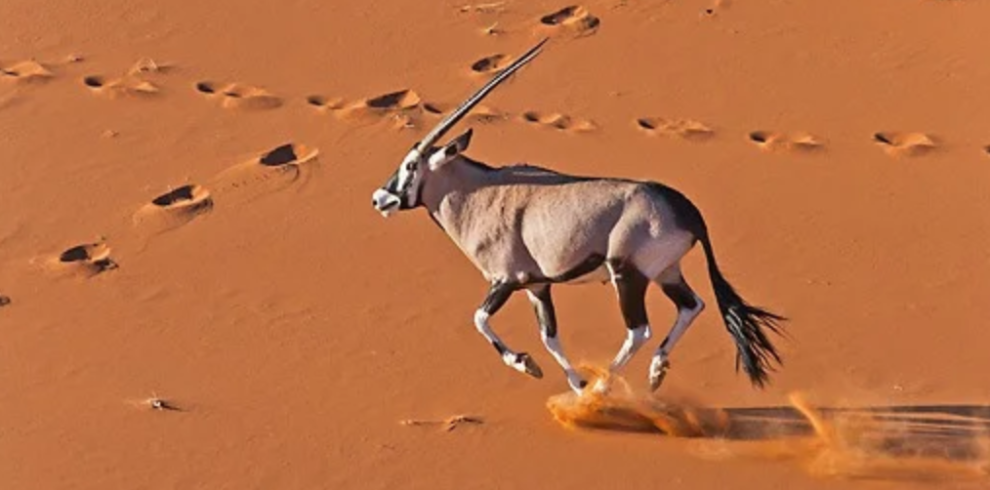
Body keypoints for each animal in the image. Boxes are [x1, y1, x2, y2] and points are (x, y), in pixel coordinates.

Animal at [368, 40, 788, 396]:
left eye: (411, 165)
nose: (379, 199)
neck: (478, 193)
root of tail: (686, 210)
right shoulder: (538, 286)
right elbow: (549, 335)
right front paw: (574, 384)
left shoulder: (505, 280)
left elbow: (479, 319)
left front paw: (528, 365)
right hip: (666, 271)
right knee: (692, 305)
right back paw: (654, 373)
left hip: (628, 275)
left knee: (639, 330)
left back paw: (604, 388)